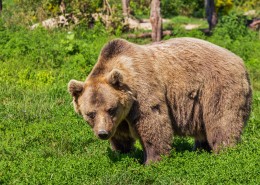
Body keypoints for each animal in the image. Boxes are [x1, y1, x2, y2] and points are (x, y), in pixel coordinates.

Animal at [68, 37, 251, 163]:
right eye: (90, 113)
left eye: (111, 109)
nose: (102, 133)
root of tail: (241, 61)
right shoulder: (120, 119)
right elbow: (120, 136)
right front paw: (121, 152)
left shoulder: (142, 92)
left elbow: (153, 123)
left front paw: (152, 161)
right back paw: (201, 149)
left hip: (217, 88)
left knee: (222, 120)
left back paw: (224, 152)